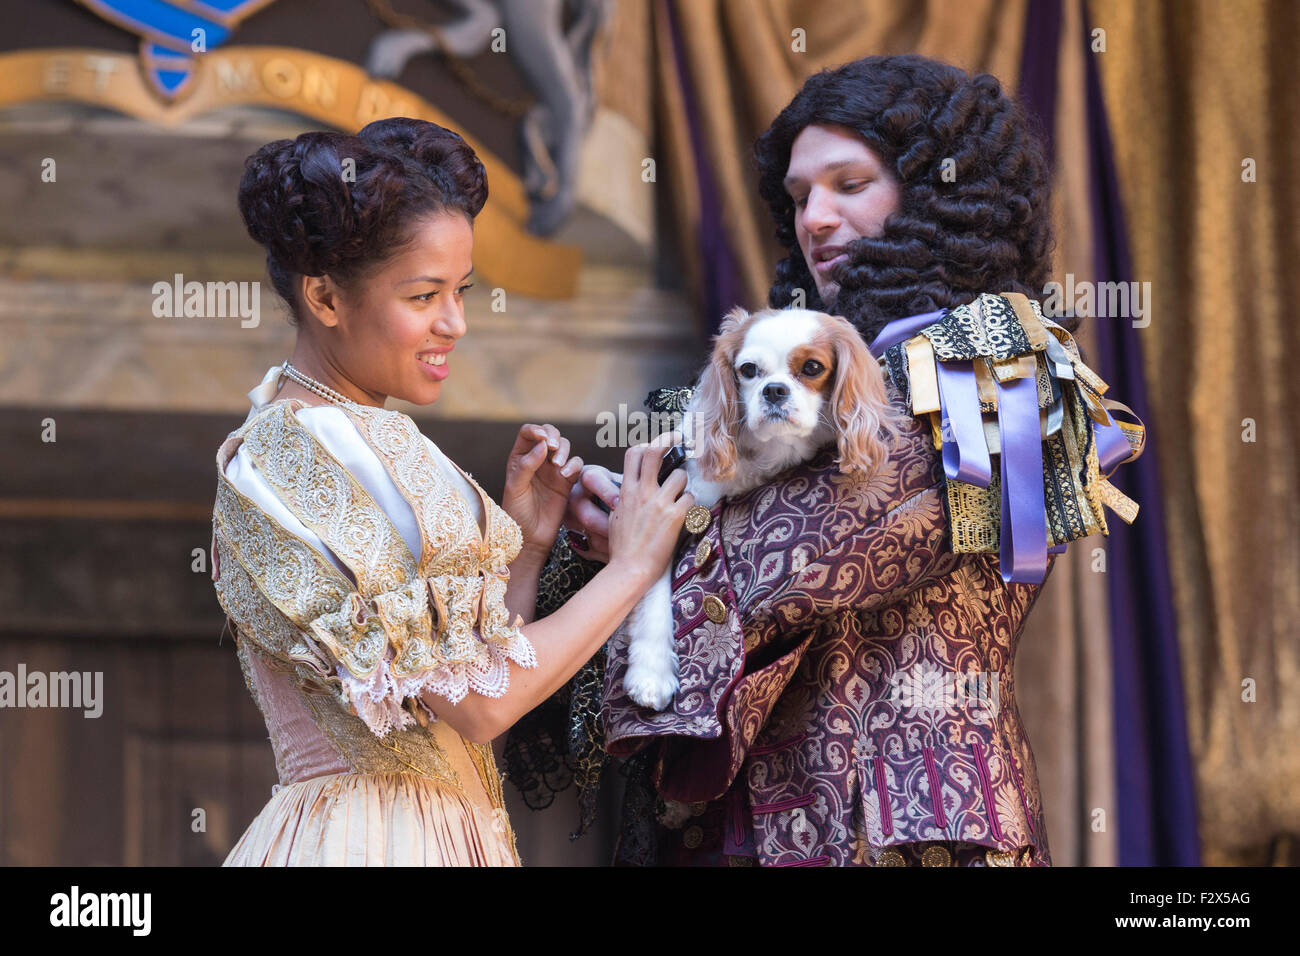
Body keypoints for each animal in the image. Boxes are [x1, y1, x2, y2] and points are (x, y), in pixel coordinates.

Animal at [618, 306, 904, 712]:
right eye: (749, 370)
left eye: (813, 367)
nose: (774, 390)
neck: (772, 453)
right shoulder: (668, 512)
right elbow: (651, 591)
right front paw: (650, 674)